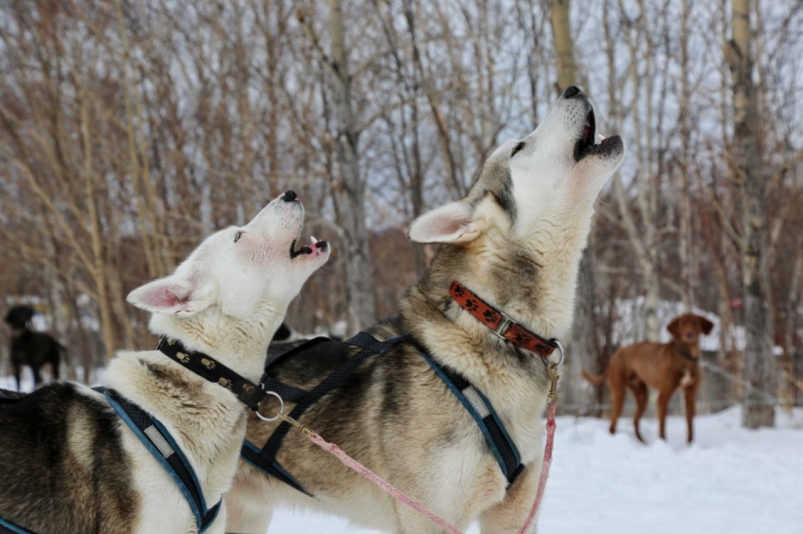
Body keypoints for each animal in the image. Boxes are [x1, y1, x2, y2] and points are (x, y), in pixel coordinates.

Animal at [584, 314, 716, 444]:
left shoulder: (690, 396)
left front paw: (690, 445)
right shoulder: (663, 397)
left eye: (696, 323)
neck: (686, 357)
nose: (689, 335)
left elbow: (690, 427)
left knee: (635, 420)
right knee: (613, 421)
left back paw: (642, 443)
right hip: (619, 392)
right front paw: (663, 444)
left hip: (642, 396)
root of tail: (615, 354)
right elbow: (662, 427)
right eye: (682, 323)